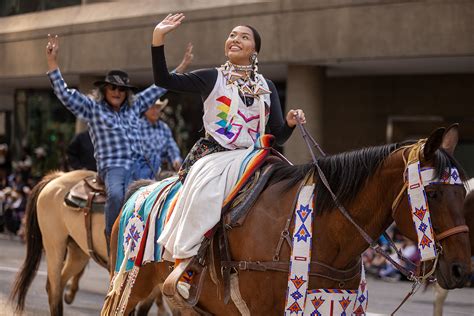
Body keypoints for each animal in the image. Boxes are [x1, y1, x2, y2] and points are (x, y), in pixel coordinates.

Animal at [105, 125, 472, 314]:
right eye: (433, 193)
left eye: (462, 192)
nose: (461, 270)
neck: (327, 236)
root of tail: (140, 190)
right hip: (128, 285)